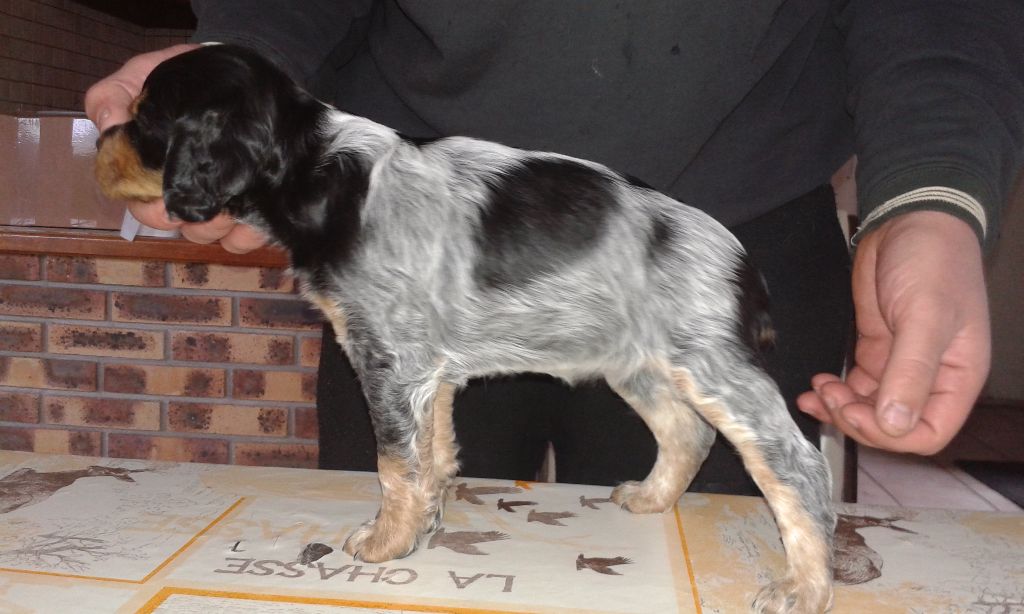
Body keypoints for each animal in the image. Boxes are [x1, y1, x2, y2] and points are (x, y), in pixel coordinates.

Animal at [95, 44, 835, 613]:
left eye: (146, 117)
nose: (97, 134)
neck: (317, 169)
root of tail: (740, 260)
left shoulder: (387, 359)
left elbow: (394, 463)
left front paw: (383, 543)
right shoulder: (427, 369)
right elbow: (433, 453)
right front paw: (423, 523)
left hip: (712, 367)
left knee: (795, 465)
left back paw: (804, 586)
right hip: (638, 366)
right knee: (687, 433)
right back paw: (651, 498)